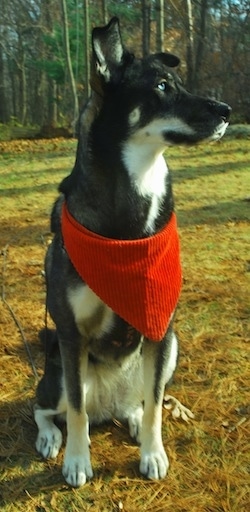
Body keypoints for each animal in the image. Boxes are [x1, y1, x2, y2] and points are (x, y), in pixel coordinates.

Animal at [34, 17, 231, 488]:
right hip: (56, 369)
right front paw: (77, 461)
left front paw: (153, 453)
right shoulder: (70, 335)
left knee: (140, 402)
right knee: (50, 408)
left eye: (180, 82)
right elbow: (77, 413)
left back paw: (137, 421)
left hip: (172, 347)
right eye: (161, 86)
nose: (227, 111)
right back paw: (51, 437)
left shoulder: (160, 325)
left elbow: (156, 402)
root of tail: (110, 408)